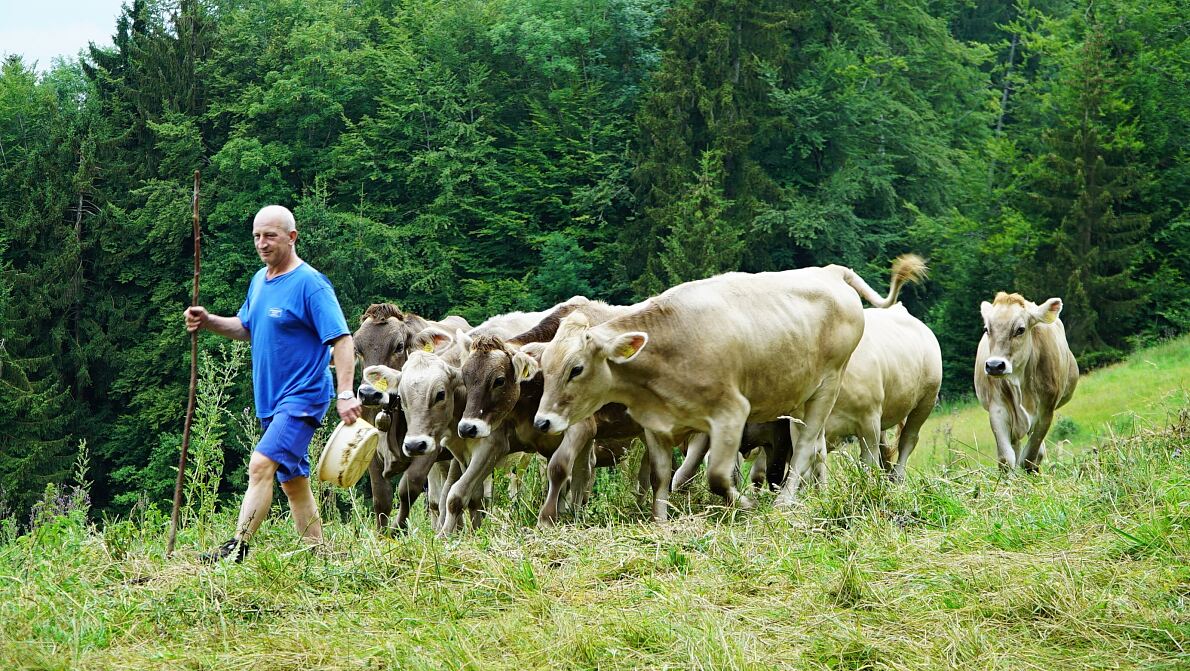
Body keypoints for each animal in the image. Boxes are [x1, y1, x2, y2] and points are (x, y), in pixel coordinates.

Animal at [533, 256, 928, 518]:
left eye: (576, 369)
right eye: (544, 370)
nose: (542, 422)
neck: (668, 348)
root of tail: (828, 271)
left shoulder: (730, 415)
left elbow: (718, 477)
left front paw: (747, 504)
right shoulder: (655, 425)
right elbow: (662, 476)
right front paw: (660, 522)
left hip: (828, 386)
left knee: (805, 449)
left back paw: (784, 502)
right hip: (799, 398)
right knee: (813, 446)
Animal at [975, 292, 1080, 471]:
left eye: (1020, 329)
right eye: (986, 329)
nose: (995, 365)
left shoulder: (1046, 412)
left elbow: (1030, 457)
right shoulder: (997, 409)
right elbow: (1006, 459)